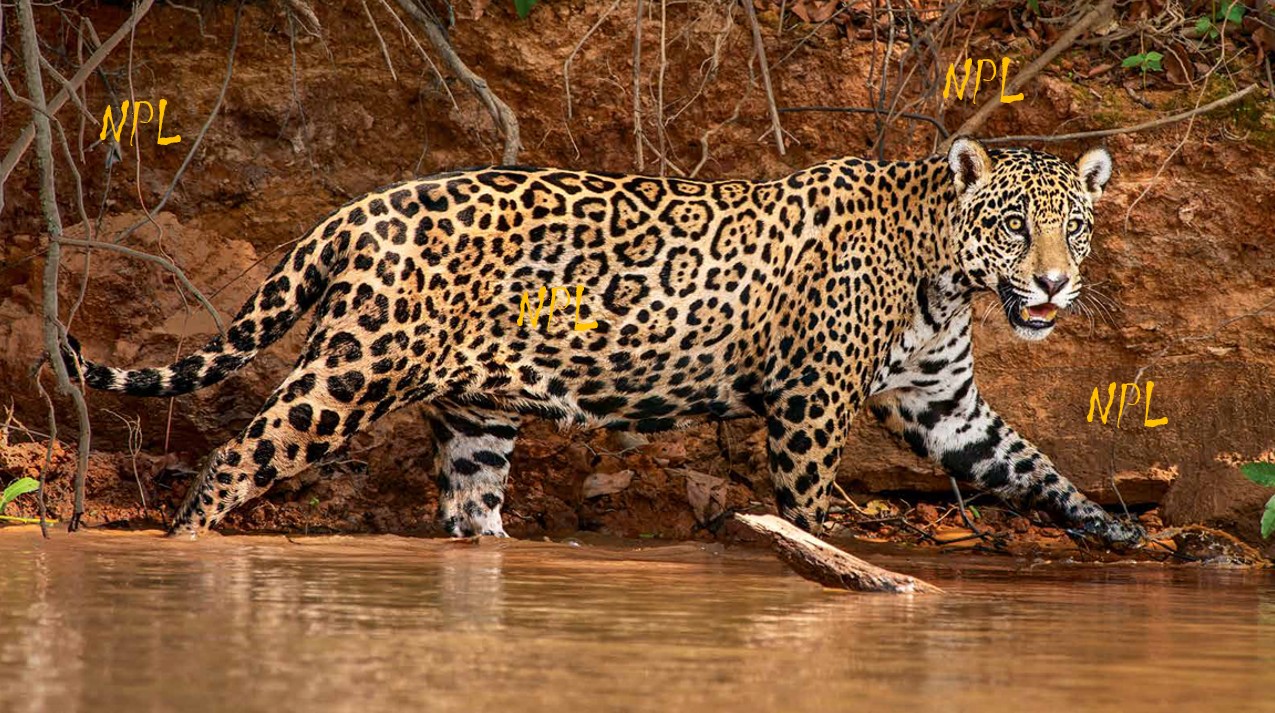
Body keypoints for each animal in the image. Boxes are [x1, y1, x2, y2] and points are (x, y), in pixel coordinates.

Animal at [63, 137, 1144, 548]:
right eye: (1013, 223)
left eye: (1073, 226)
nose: (1054, 281)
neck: (944, 276)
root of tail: (359, 209)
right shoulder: (810, 399)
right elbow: (805, 499)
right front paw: (828, 554)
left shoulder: (941, 401)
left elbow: (1025, 459)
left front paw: (1110, 525)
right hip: (353, 369)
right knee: (238, 452)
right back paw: (184, 550)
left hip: (475, 413)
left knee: (468, 511)